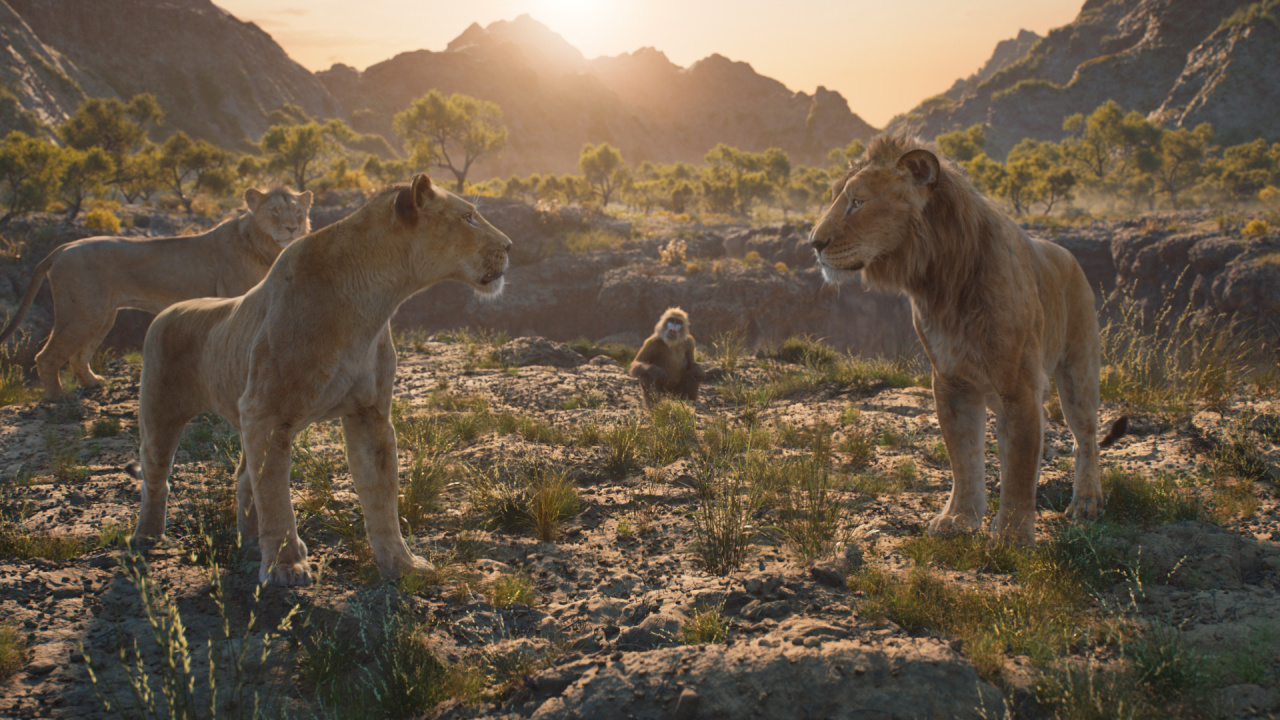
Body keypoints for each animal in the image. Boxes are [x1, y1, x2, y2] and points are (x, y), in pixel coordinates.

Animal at [0, 184, 312, 394]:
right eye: (275, 211)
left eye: (298, 212)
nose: (293, 228)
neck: (264, 246)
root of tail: (62, 248)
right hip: (81, 315)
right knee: (47, 357)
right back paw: (58, 400)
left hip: (101, 316)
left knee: (79, 355)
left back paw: (92, 384)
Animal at [128, 174, 509, 584]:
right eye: (468, 217)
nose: (509, 245)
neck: (372, 302)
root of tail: (167, 311)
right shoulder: (265, 412)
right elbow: (276, 496)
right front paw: (286, 567)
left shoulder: (370, 413)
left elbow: (381, 494)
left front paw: (401, 564)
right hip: (161, 409)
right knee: (157, 473)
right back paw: (147, 537)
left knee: (244, 476)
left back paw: (251, 543)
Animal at [808, 134, 1121, 540]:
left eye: (858, 202)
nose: (814, 243)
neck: (940, 283)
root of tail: (1067, 253)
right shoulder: (951, 380)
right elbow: (963, 457)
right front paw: (959, 519)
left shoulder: (1019, 385)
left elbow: (1020, 465)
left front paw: (1012, 536)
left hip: (1078, 371)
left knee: (1086, 438)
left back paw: (1086, 502)